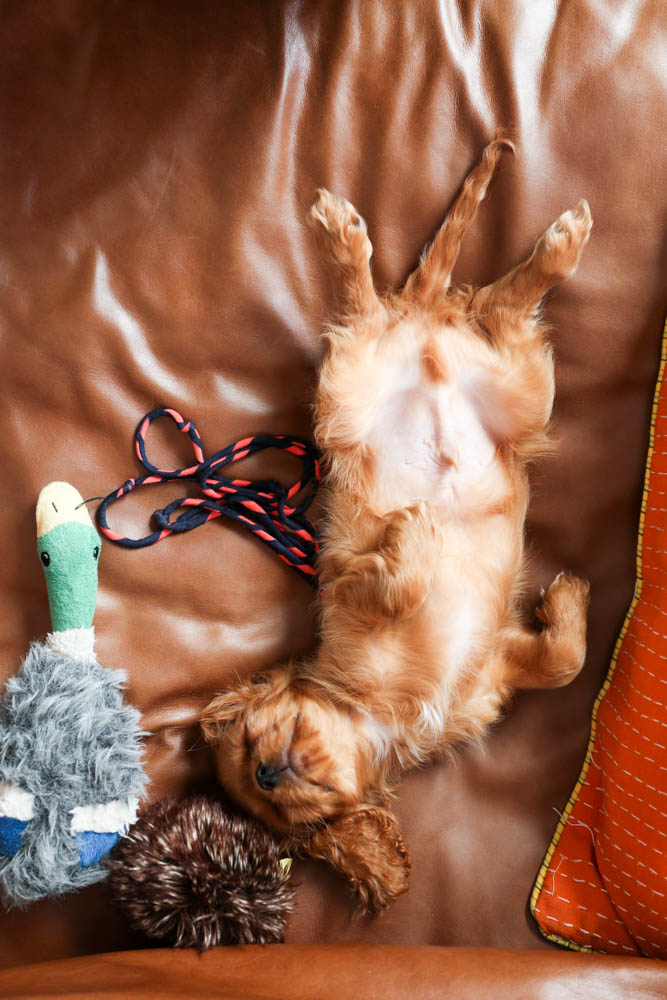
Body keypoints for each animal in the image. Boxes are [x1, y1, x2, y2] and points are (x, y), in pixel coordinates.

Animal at [201, 141, 592, 916]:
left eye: (254, 742)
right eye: (266, 788)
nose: (267, 772)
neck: (385, 715)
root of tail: (419, 323)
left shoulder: (429, 631)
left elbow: (557, 659)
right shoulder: (479, 658)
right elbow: (555, 658)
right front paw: (423, 536)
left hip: (417, 387)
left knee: (403, 301)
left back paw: (342, 234)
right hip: (477, 382)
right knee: (496, 305)